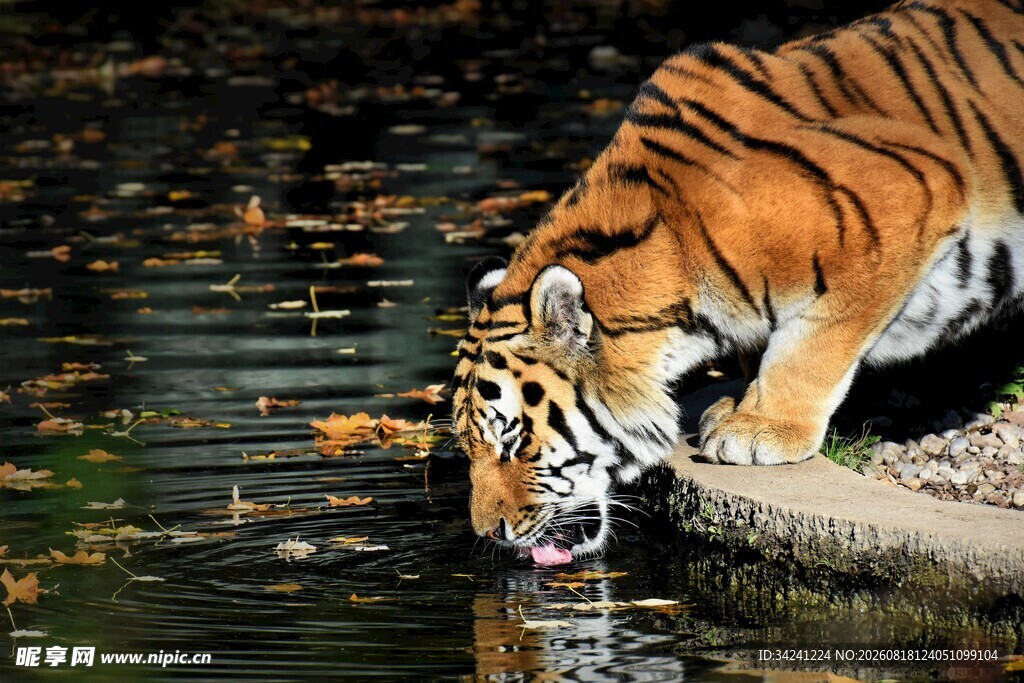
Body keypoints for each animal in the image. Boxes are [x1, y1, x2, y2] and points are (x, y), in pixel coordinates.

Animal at [452, 0, 1024, 561]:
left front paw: (763, 428)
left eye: (511, 442)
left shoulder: (910, 192)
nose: (488, 533)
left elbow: (813, 344)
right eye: (467, 445)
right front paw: (738, 405)